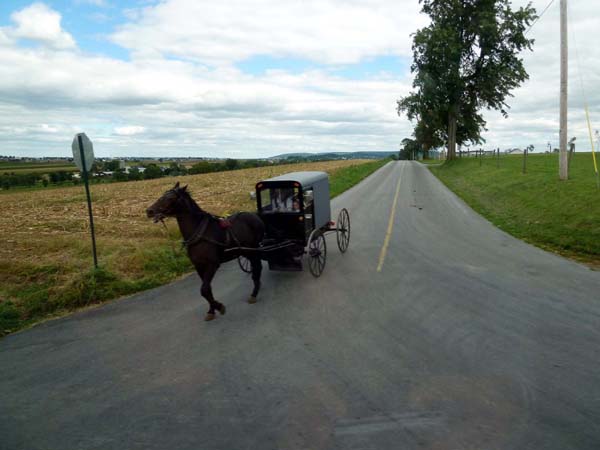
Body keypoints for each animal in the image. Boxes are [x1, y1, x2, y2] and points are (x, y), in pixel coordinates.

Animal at [146, 181, 264, 322]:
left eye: (170, 198)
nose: (149, 211)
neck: (200, 233)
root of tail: (254, 215)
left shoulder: (212, 264)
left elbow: (204, 289)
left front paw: (219, 306)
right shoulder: (199, 266)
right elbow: (207, 290)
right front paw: (211, 310)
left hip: (253, 249)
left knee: (258, 267)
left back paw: (254, 293)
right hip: (246, 251)